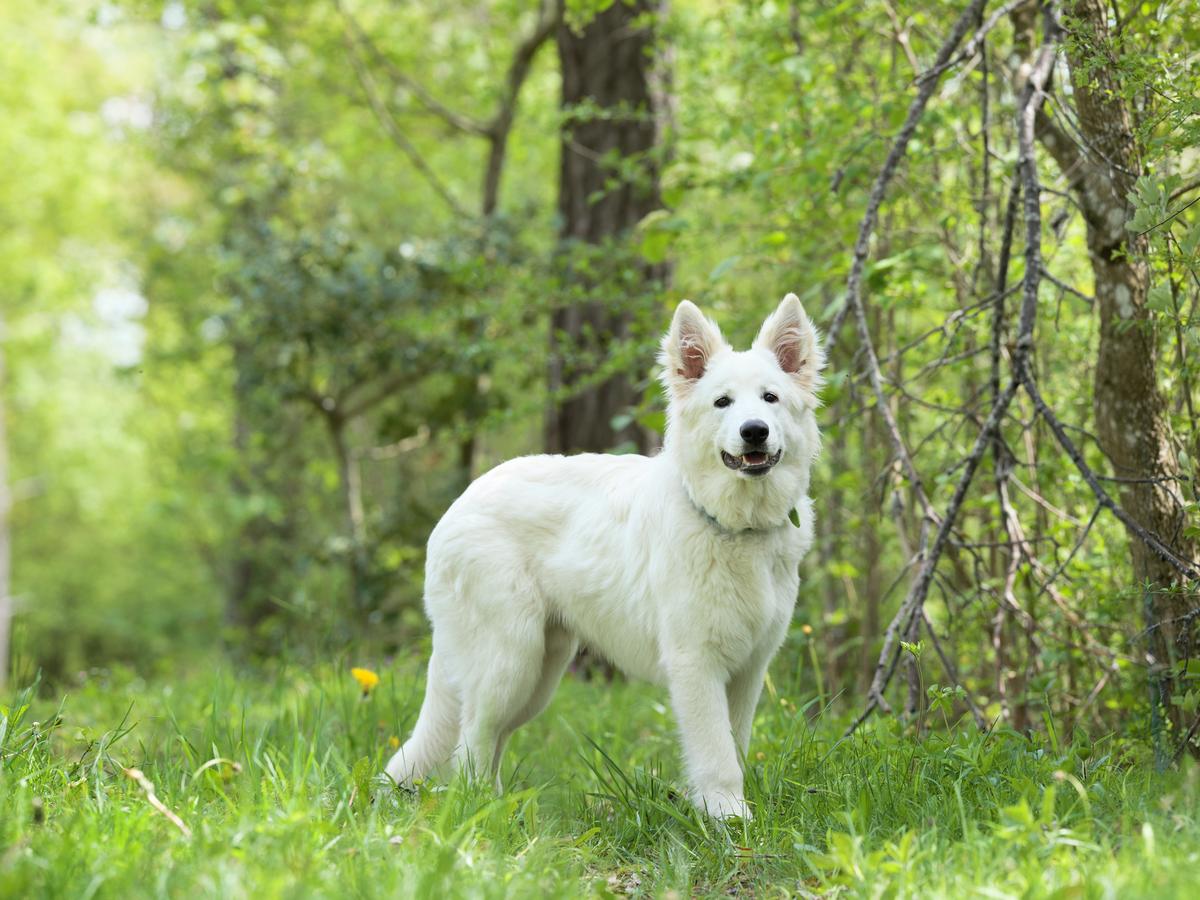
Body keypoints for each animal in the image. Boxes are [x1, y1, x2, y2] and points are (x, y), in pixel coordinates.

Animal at [386, 296, 825, 825]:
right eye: (723, 402)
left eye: (770, 399)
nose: (754, 431)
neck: (732, 526)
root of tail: (460, 503)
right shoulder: (696, 664)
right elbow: (716, 754)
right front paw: (728, 819)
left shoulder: (748, 670)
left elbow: (735, 745)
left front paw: (725, 812)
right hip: (508, 664)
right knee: (472, 743)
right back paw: (485, 815)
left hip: (539, 675)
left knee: (491, 743)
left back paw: (504, 811)